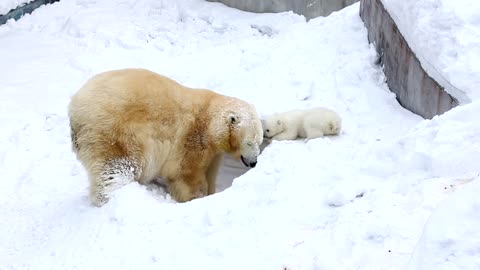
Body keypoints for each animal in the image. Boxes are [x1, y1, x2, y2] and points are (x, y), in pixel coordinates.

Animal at [68, 68, 262, 207]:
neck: (209, 119)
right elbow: (187, 174)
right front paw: (195, 198)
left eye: (259, 142)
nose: (254, 163)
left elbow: (210, 172)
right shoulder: (193, 139)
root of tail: (75, 108)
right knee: (117, 168)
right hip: (114, 131)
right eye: (249, 142)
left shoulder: (214, 152)